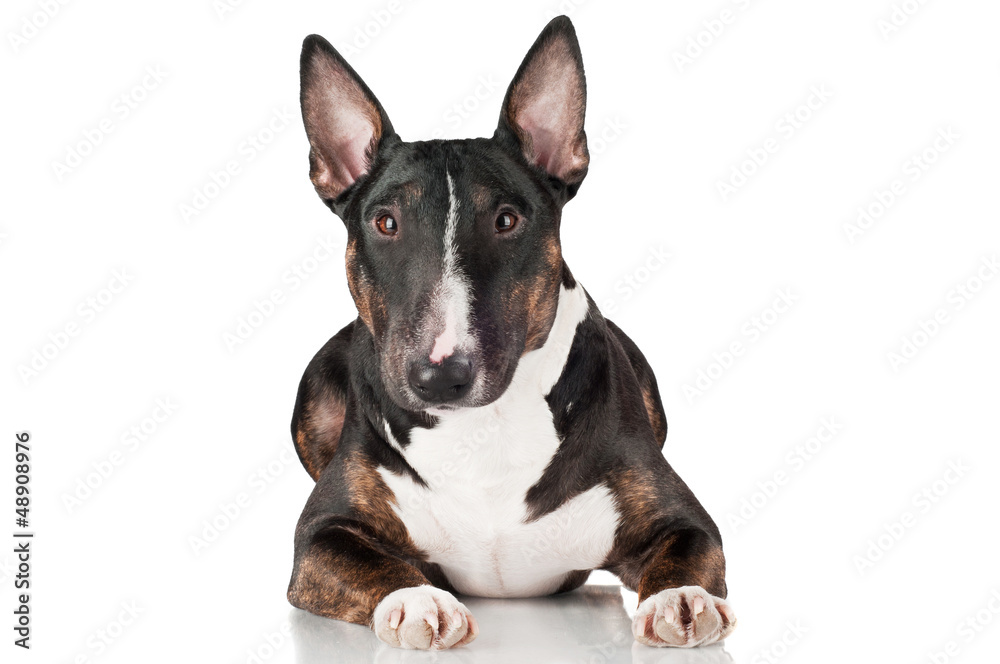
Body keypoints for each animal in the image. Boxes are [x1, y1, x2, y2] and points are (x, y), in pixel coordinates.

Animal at [288, 14, 736, 648]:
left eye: (506, 219)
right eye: (385, 222)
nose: (439, 377)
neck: (482, 430)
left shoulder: (681, 516)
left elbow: (687, 544)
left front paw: (682, 599)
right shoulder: (320, 532)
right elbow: (371, 561)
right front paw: (418, 600)